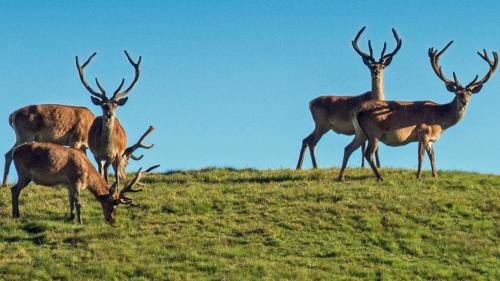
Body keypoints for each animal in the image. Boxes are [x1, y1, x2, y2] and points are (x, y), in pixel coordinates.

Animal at [10, 142, 158, 223]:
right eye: (113, 205)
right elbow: (78, 202)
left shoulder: (68, 184)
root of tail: (14, 152)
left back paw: (15, 214)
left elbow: (70, 200)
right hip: (24, 173)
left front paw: (71, 217)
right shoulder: (76, 181)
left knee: (14, 189)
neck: (87, 175)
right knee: (14, 189)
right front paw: (80, 221)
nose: (111, 220)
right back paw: (17, 215)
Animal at [76, 50, 143, 182]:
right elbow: (101, 172)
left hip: (119, 155)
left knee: (116, 173)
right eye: (103, 105)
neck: (107, 147)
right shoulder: (97, 154)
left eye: (115, 105)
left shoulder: (115, 155)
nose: (109, 114)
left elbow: (110, 173)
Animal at [296, 26, 402, 170]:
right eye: (370, 66)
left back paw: (303, 166)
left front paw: (372, 166)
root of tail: (310, 103)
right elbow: (366, 147)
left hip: (322, 125)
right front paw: (369, 166)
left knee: (307, 140)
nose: (376, 72)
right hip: (321, 123)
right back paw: (309, 166)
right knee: (310, 141)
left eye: (383, 66)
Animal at [338, 41, 498, 182]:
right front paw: (419, 176)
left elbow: (432, 155)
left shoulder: (430, 139)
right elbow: (421, 156)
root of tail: (357, 110)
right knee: (368, 153)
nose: (464, 102)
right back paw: (379, 177)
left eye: (469, 93)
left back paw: (341, 177)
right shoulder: (423, 132)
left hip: (360, 132)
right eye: (457, 93)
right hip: (374, 132)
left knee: (347, 148)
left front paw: (435, 175)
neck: (440, 122)